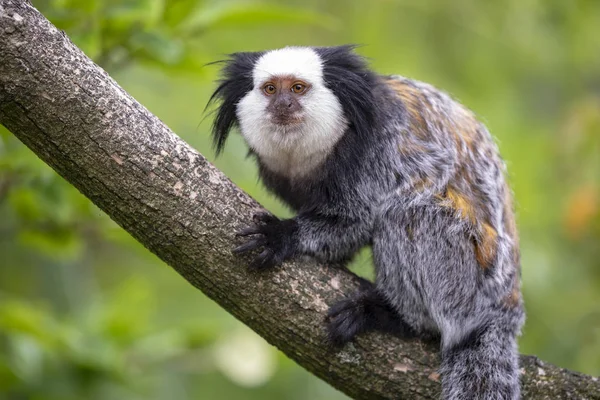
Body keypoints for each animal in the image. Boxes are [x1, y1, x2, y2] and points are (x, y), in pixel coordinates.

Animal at [207, 45, 524, 398]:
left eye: (298, 88)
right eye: (271, 89)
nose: (283, 105)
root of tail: (506, 308)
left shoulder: (376, 150)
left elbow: (356, 222)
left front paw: (283, 235)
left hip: (470, 284)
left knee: (408, 213)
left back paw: (394, 316)